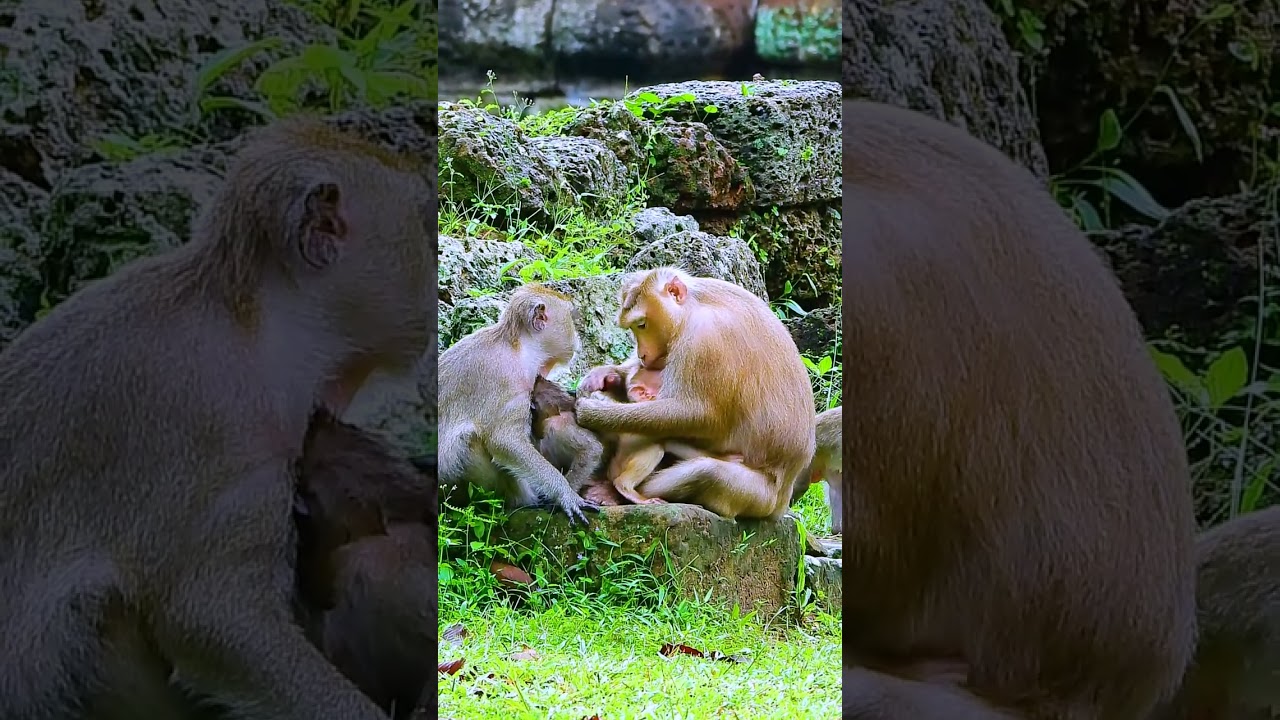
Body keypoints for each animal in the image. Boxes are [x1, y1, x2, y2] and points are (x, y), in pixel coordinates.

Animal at [438, 284, 598, 525]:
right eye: (572, 317)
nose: (578, 339)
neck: (518, 348)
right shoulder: (506, 379)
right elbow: (504, 440)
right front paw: (565, 494)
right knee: (469, 440)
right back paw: (524, 501)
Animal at [573, 267, 816, 520]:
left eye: (641, 325)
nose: (642, 355)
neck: (693, 307)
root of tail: (780, 503)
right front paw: (605, 376)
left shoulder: (704, 341)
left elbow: (700, 415)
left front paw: (594, 413)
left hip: (756, 498)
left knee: (708, 472)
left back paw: (617, 491)